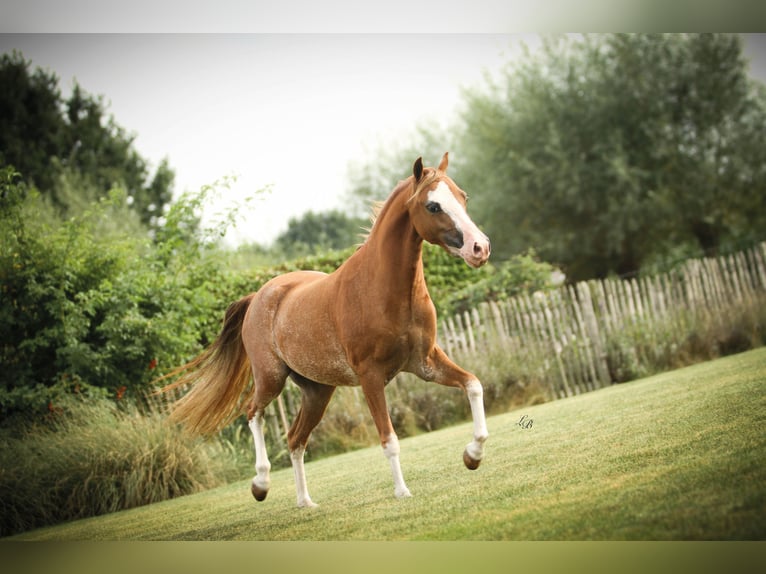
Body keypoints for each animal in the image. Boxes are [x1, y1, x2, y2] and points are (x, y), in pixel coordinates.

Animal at [165, 154, 496, 508]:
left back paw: (305, 502)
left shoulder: (425, 363)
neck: (384, 290)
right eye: (433, 206)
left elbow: (473, 385)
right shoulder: (371, 377)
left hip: (317, 392)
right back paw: (260, 485)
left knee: (295, 438)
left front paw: (472, 456)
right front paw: (402, 491)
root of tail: (259, 296)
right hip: (270, 378)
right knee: (253, 413)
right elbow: (389, 438)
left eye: (463, 197)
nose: (480, 248)